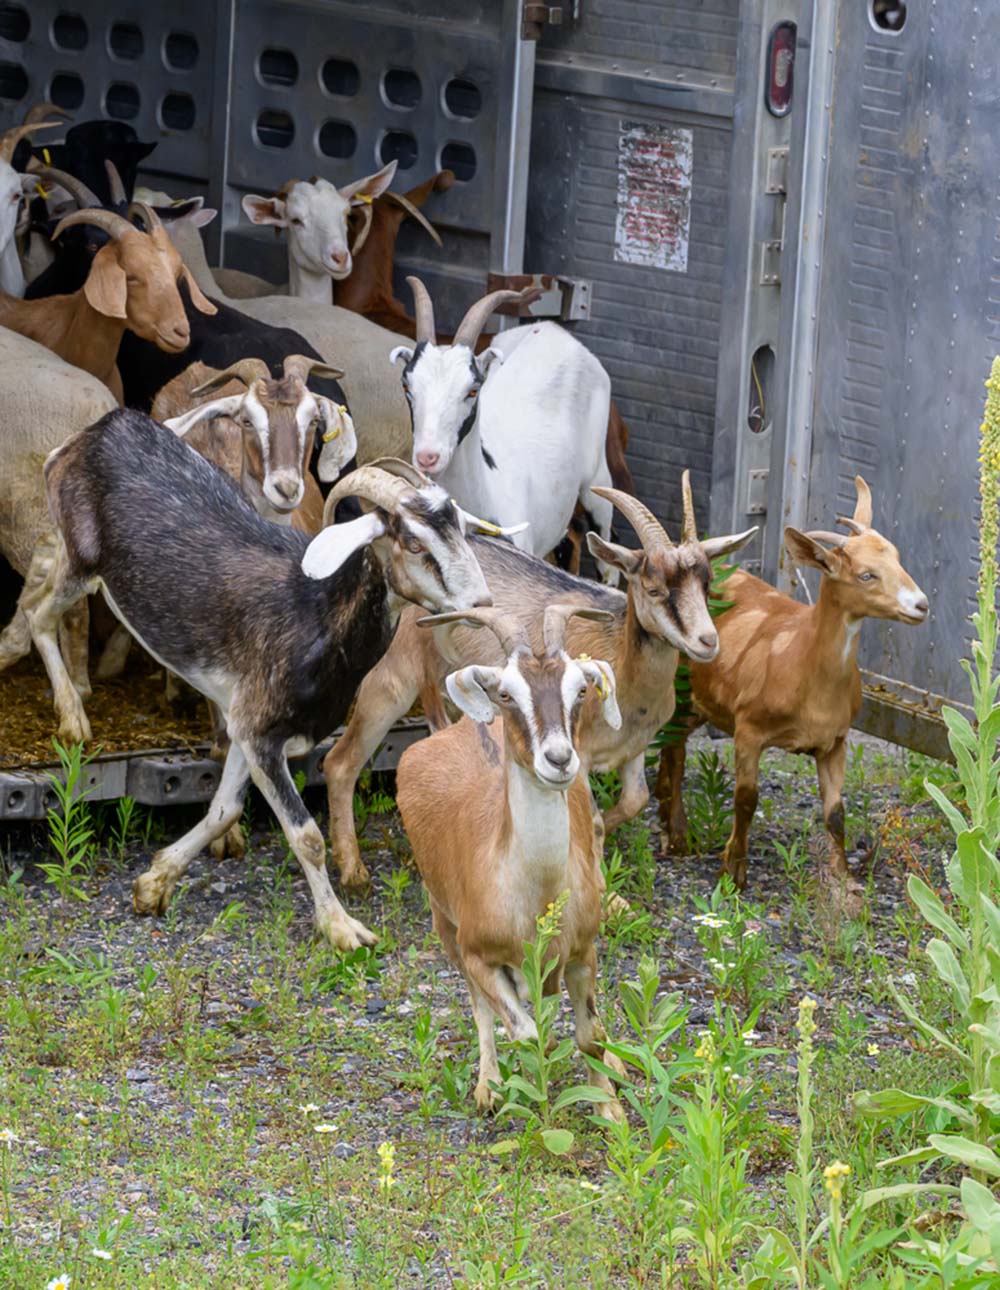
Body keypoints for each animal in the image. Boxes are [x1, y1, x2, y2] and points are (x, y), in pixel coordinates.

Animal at [38, 431, 493, 948]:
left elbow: (225, 809)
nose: (481, 602)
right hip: (78, 563)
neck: (314, 612)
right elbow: (307, 837)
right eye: (414, 542)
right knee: (38, 616)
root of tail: (96, 434)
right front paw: (342, 928)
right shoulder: (260, 732)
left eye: (459, 529)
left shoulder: (246, 727)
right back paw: (73, 718)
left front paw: (154, 883)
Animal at [324, 473, 756, 887]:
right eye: (653, 589)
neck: (622, 659)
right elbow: (593, 820)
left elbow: (635, 800)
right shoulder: (578, 752)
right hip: (391, 682)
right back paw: (354, 873)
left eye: (707, 584)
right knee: (341, 762)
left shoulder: (634, 748)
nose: (707, 641)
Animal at [397, 603, 626, 1116]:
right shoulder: (476, 953)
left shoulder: (583, 950)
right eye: (506, 693)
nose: (558, 759)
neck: (535, 897)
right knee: (481, 1006)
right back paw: (489, 1085)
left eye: (581, 689)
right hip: (443, 924)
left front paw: (610, 1108)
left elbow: (591, 1033)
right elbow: (523, 1029)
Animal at [653, 476, 928, 894]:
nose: (921, 605)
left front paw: (843, 877)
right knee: (675, 749)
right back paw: (678, 836)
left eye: (897, 558)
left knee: (674, 746)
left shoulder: (835, 740)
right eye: (866, 575)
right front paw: (733, 872)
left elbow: (835, 811)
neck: (801, 667)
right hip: (679, 689)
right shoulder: (748, 730)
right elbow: (746, 800)